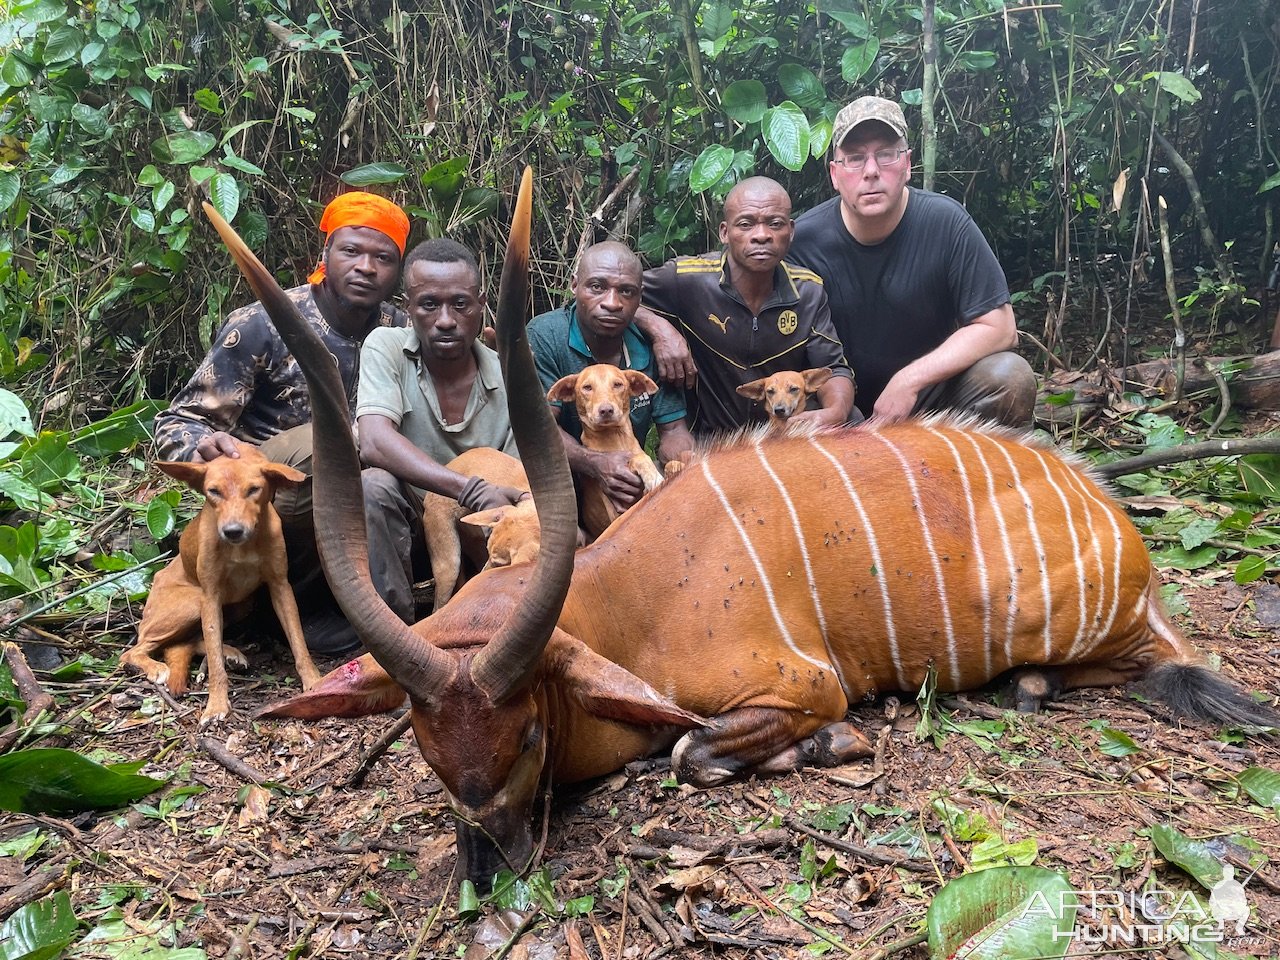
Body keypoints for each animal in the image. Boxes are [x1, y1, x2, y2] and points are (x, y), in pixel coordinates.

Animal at [120, 440, 320, 727]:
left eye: (253, 490)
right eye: (213, 491)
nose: (232, 531)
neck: (243, 547)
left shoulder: (281, 586)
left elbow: (299, 642)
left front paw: (314, 682)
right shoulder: (210, 595)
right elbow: (214, 665)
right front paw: (215, 705)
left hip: (240, 605)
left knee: (189, 641)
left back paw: (231, 653)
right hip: (192, 604)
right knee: (133, 651)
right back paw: (157, 667)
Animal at [545, 363, 665, 542]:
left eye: (618, 384)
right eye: (587, 387)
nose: (606, 410)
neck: (616, 437)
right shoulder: (618, 512)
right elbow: (638, 458)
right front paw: (653, 476)